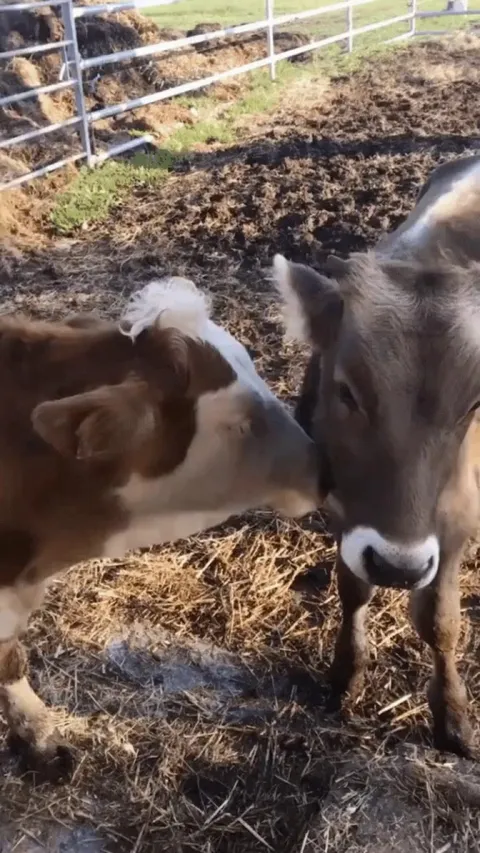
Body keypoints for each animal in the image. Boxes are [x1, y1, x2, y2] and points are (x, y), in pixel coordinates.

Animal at [274, 153, 480, 759]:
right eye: (346, 390)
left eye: (474, 403)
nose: (398, 566)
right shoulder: (343, 508)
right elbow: (353, 589)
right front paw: (345, 673)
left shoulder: (458, 516)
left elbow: (439, 620)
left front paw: (452, 716)